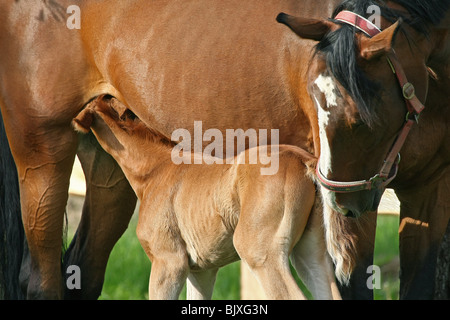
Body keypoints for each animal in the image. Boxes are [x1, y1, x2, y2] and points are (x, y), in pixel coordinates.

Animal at [73, 95, 342, 300]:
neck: (155, 169)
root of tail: (303, 160)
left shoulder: (168, 262)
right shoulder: (201, 270)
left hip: (260, 253)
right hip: (310, 254)